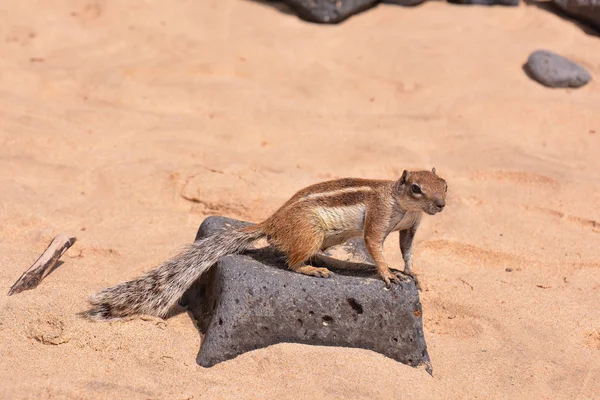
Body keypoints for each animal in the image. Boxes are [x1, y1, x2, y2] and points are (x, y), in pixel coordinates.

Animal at [88, 167, 446, 320]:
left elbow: (407, 249)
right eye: (416, 188)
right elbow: (374, 245)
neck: (404, 206)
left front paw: (411, 272)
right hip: (311, 232)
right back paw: (313, 270)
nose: (441, 205)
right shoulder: (378, 218)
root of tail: (271, 222)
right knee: (292, 261)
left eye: (444, 184)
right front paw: (388, 274)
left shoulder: (410, 228)